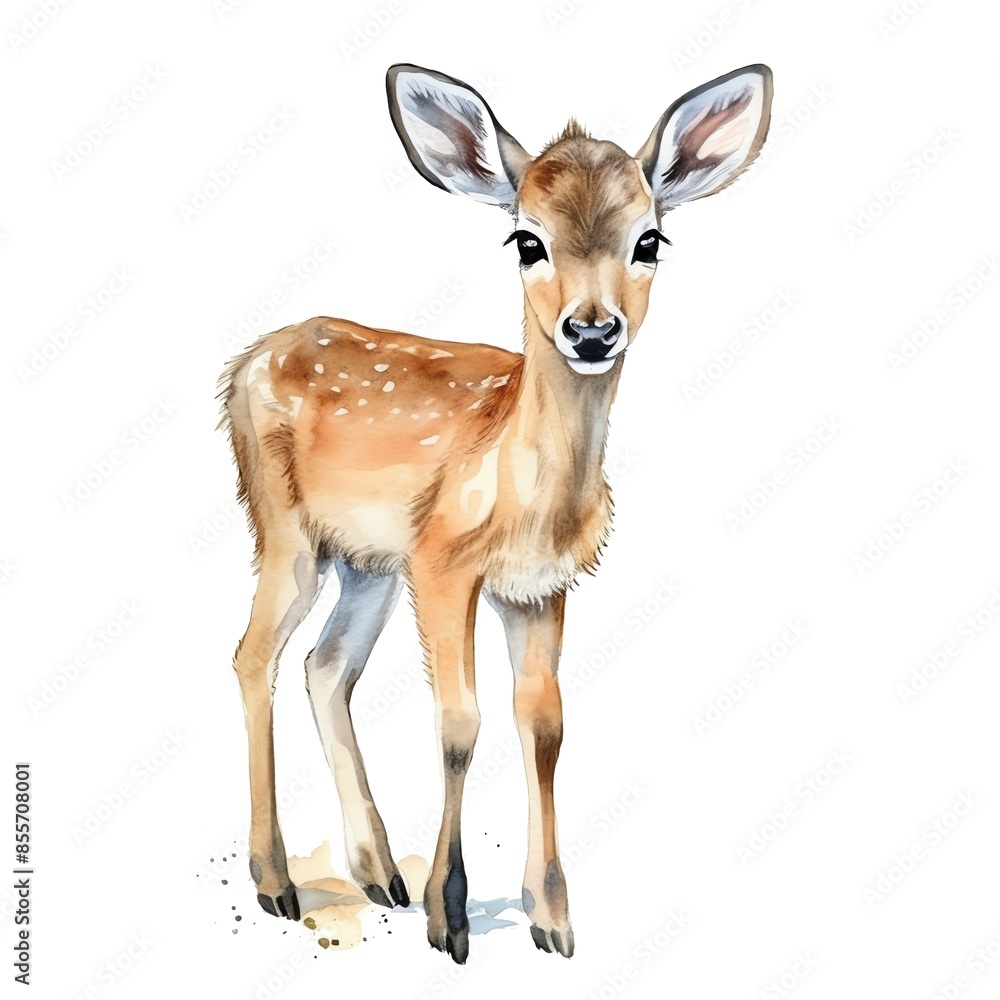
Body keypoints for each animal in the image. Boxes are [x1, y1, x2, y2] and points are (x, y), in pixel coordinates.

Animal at [219, 62, 773, 964]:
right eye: (526, 241)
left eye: (649, 241)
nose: (591, 330)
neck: (527, 496)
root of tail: (245, 360)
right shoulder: (444, 562)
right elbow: (459, 722)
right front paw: (451, 920)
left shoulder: (539, 586)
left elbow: (543, 725)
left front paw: (551, 918)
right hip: (283, 526)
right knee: (253, 656)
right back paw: (275, 881)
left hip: (369, 564)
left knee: (325, 667)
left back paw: (380, 872)